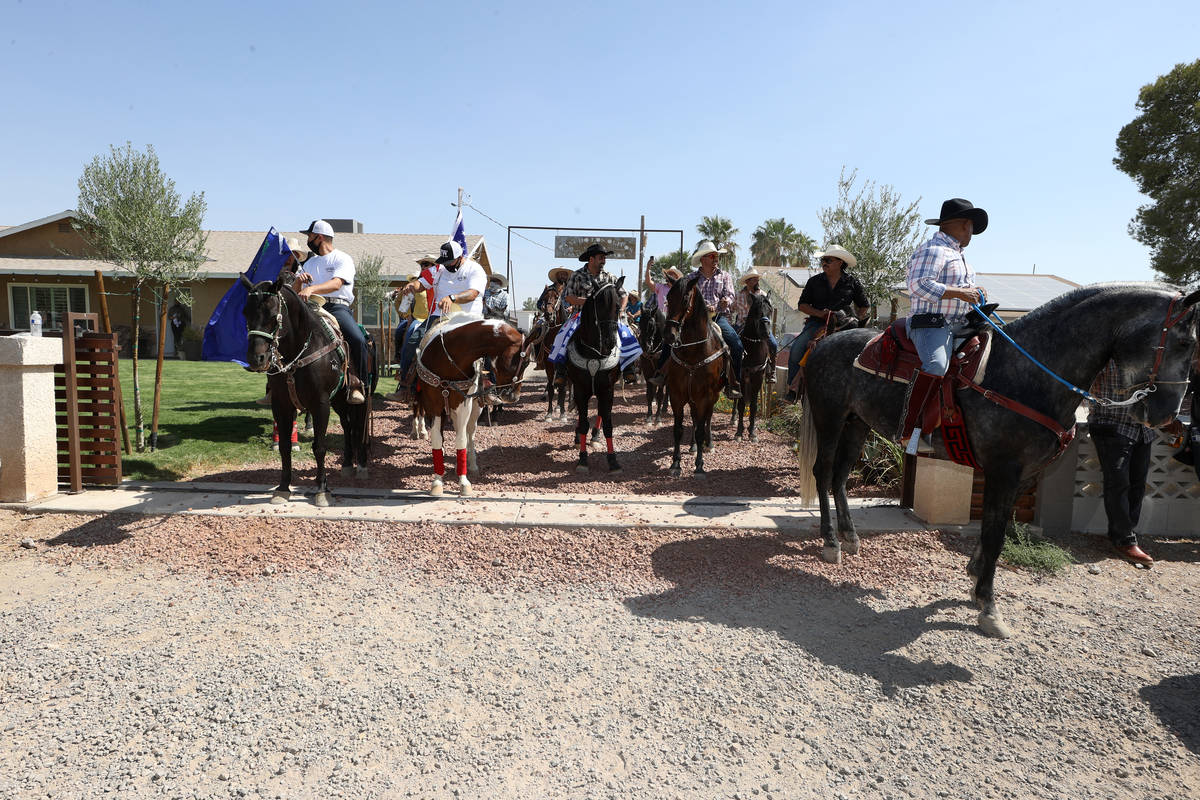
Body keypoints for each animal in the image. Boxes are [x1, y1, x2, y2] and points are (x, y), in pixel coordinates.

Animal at [240, 275, 367, 510]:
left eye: (273, 314)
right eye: (245, 312)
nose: (256, 359)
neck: (298, 351)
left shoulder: (320, 404)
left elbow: (320, 447)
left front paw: (323, 491)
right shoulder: (281, 404)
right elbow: (284, 446)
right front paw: (283, 488)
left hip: (353, 399)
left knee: (356, 425)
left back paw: (360, 465)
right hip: (337, 401)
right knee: (346, 425)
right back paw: (346, 464)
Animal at [566, 278, 628, 472]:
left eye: (618, 306)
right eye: (599, 305)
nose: (609, 341)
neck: (595, 353)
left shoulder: (607, 389)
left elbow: (608, 424)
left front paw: (613, 460)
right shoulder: (580, 390)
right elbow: (583, 422)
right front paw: (583, 459)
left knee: (600, 412)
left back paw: (595, 436)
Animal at [662, 275, 724, 474]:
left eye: (684, 299)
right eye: (668, 298)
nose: (669, 335)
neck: (693, 352)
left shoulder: (705, 396)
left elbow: (700, 430)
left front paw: (699, 465)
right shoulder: (677, 395)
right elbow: (678, 429)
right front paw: (675, 463)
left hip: (713, 396)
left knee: (707, 419)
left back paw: (708, 444)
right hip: (692, 398)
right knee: (696, 418)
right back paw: (693, 446)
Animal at [724, 293, 772, 441]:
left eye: (770, 310)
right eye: (756, 311)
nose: (766, 332)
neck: (753, 347)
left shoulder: (757, 377)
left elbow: (754, 405)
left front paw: (752, 432)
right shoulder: (741, 376)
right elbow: (741, 404)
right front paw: (739, 432)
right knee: (736, 398)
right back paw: (733, 419)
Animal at [796, 281, 1200, 638]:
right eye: (1186, 342)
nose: (1167, 415)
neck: (1026, 374)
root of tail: (825, 343)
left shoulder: (1023, 476)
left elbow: (995, 531)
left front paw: (977, 578)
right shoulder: (1003, 472)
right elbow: (994, 536)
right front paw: (989, 608)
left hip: (857, 423)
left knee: (840, 476)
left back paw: (849, 536)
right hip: (830, 418)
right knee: (823, 472)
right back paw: (830, 542)